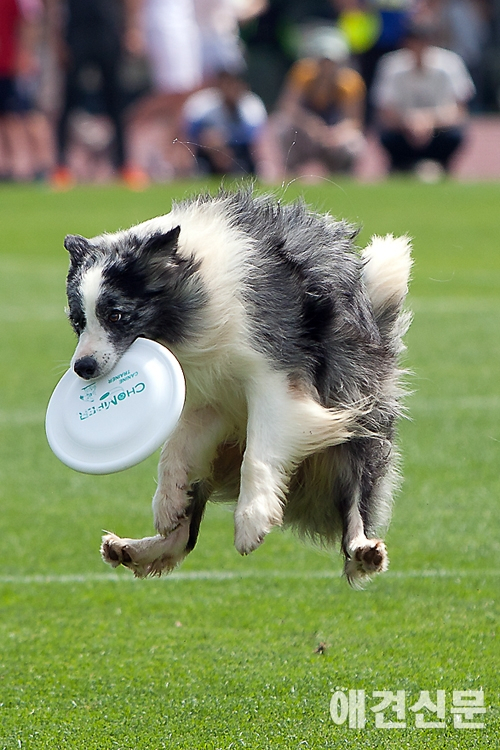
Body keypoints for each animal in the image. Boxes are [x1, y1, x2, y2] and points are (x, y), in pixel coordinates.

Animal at [64, 189, 412, 588]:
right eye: (78, 321)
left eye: (116, 314)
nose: (83, 368)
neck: (197, 282)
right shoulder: (211, 398)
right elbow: (175, 451)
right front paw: (167, 500)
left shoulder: (276, 378)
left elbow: (258, 455)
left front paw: (251, 521)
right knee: (185, 534)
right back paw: (134, 548)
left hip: (358, 421)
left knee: (355, 509)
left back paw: (363, 551)